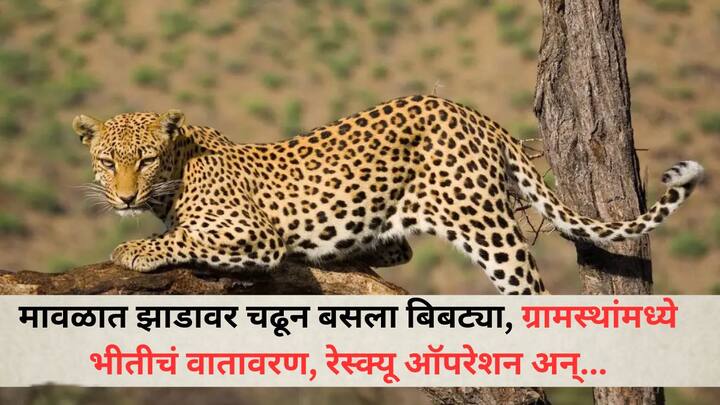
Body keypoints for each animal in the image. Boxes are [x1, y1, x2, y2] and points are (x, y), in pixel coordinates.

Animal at [72, 95, 704, 295]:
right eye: (107, 162)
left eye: (145, 160)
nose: (124, 198)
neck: (178, 168)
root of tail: (473, 113)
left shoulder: (255, 234)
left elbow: (182, 235)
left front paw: (135, 249)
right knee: (399, 248)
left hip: (485, 224)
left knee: (530, 288)